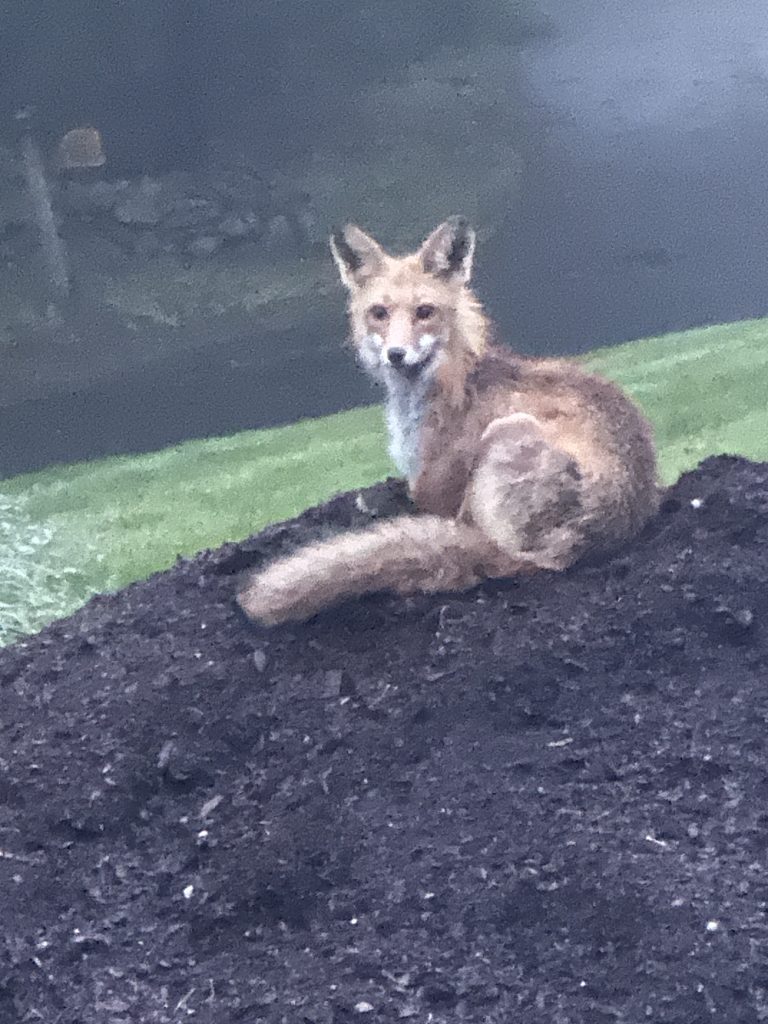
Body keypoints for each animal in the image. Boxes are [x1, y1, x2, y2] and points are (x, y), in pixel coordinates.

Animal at [237, 216, 660, 626]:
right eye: (379, 314)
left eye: (425, 312)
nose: (395, 354)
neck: (449, 382)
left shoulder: (437, 490)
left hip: (503, 436)